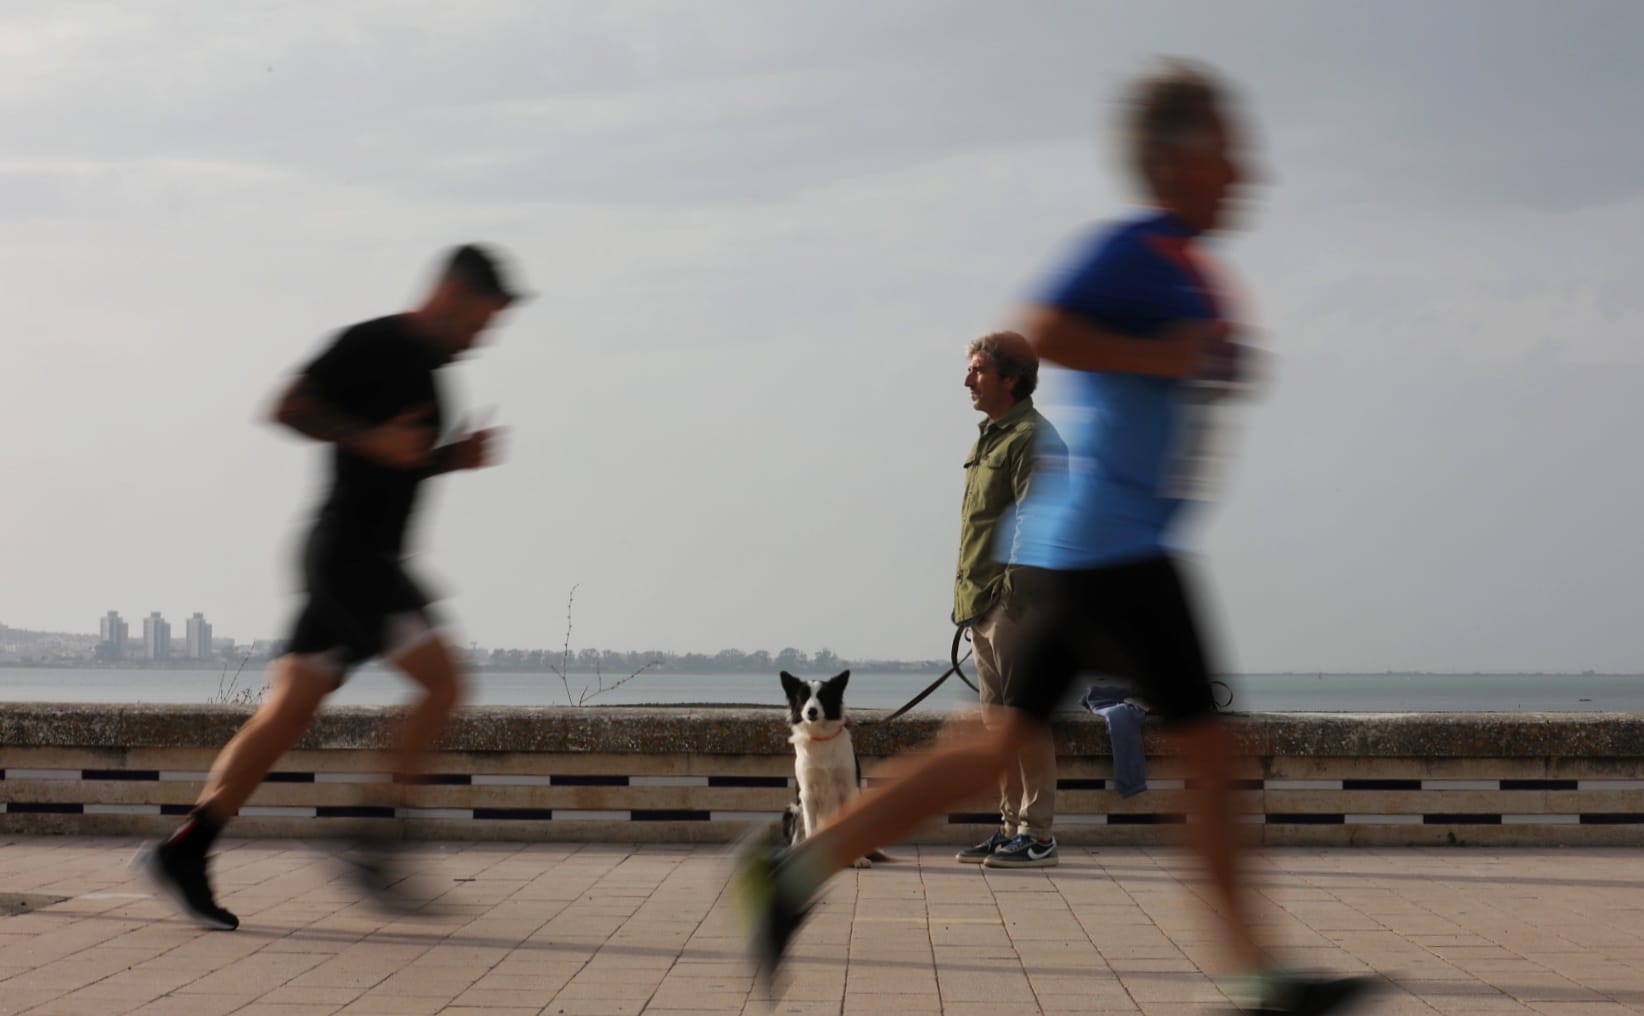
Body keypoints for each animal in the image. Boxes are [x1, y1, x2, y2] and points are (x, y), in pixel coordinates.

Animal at [775, 667, 881, 868]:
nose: (812, 711)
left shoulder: (850, 788)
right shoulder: (807, 793)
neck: (821, 737)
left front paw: (858, 858)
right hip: (791, 811)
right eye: (803, 698)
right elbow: (810, 828)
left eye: (823, 696)